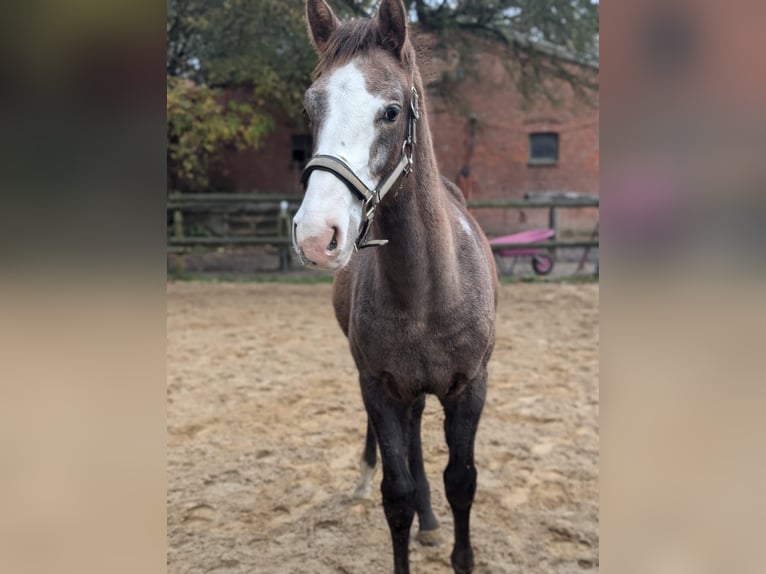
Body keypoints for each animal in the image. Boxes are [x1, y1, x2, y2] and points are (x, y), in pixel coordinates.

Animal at [292, 2, 498, 572]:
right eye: (310, 107)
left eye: (391, 111)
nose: (316, 235)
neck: (427, 294)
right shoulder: (380, 386)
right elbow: (397, 493)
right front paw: (403, 503)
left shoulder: (470, 387)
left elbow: (462, 482)